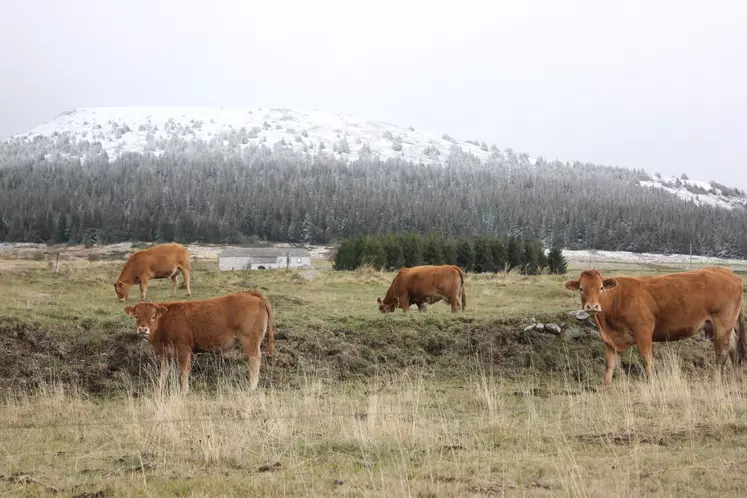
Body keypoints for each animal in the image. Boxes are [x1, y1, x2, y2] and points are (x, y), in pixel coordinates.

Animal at [124, 292, 276, 392]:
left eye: (153, 316)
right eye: (136, 316)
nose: (142, 329)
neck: (165, 321)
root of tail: (251, 294)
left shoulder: (183, 350)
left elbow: (183, 372)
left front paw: (184, 391)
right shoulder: (166, 353)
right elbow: (164, 372)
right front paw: (159, 389)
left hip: (250, 341)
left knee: (254, 360)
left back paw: (251, 387)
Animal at [564, 266, 744, 388]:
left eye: (601, 288)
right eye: (581, 289)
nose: (592, 306)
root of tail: (728, 273)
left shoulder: (643, 331)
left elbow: (646, 359)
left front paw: (650, 381)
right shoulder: (609, 339)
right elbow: (609, 364)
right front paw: (606, 386)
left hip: (722, 324)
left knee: (722, 353)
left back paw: (718, 379)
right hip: (725, 327)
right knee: (734, 347)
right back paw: (736, 377)